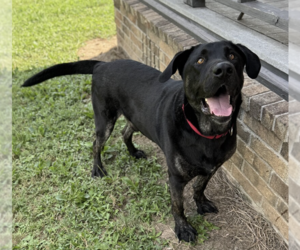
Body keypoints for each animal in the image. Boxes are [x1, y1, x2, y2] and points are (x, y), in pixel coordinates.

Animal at [22, 41, 260, 242]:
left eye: (232, 56)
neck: (207, 132)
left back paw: (133, 151)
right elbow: (178, 206)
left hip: (136, 119)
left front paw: (201, 203)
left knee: (125, 132)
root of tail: (102, 64)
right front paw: (183, 228)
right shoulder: (175, 178)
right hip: (104, 120)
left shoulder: (213, 167)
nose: (224, 69)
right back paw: (98, 168)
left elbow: (199, 186)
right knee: (96, 144)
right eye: (200, 61)